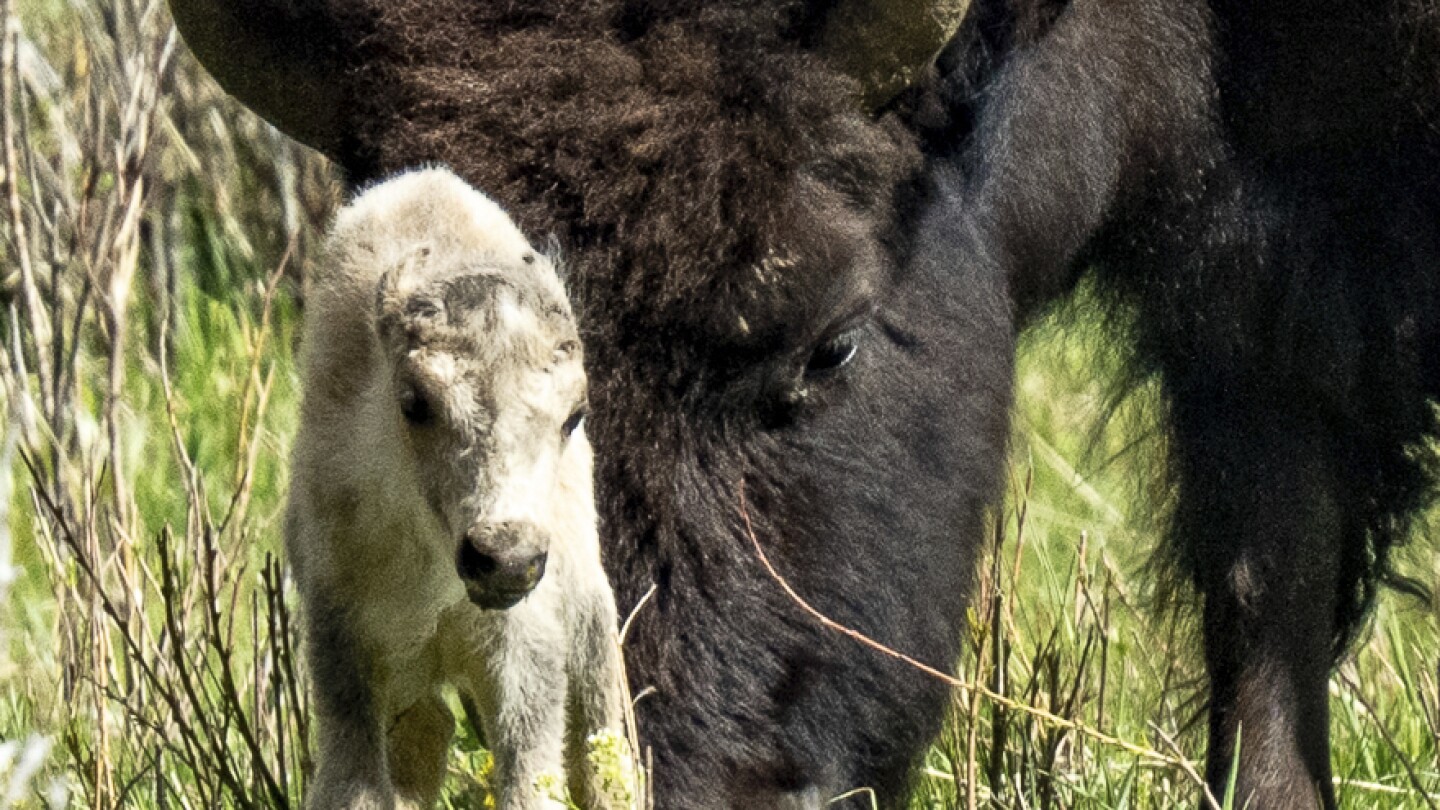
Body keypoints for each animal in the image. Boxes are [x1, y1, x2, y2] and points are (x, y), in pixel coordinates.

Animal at [289, 167, 627, 801]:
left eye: (574, 414)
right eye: (415, 402)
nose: (505, 560)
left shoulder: (524, 658)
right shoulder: (344, 648)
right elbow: (357, 787)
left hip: (592, 629)